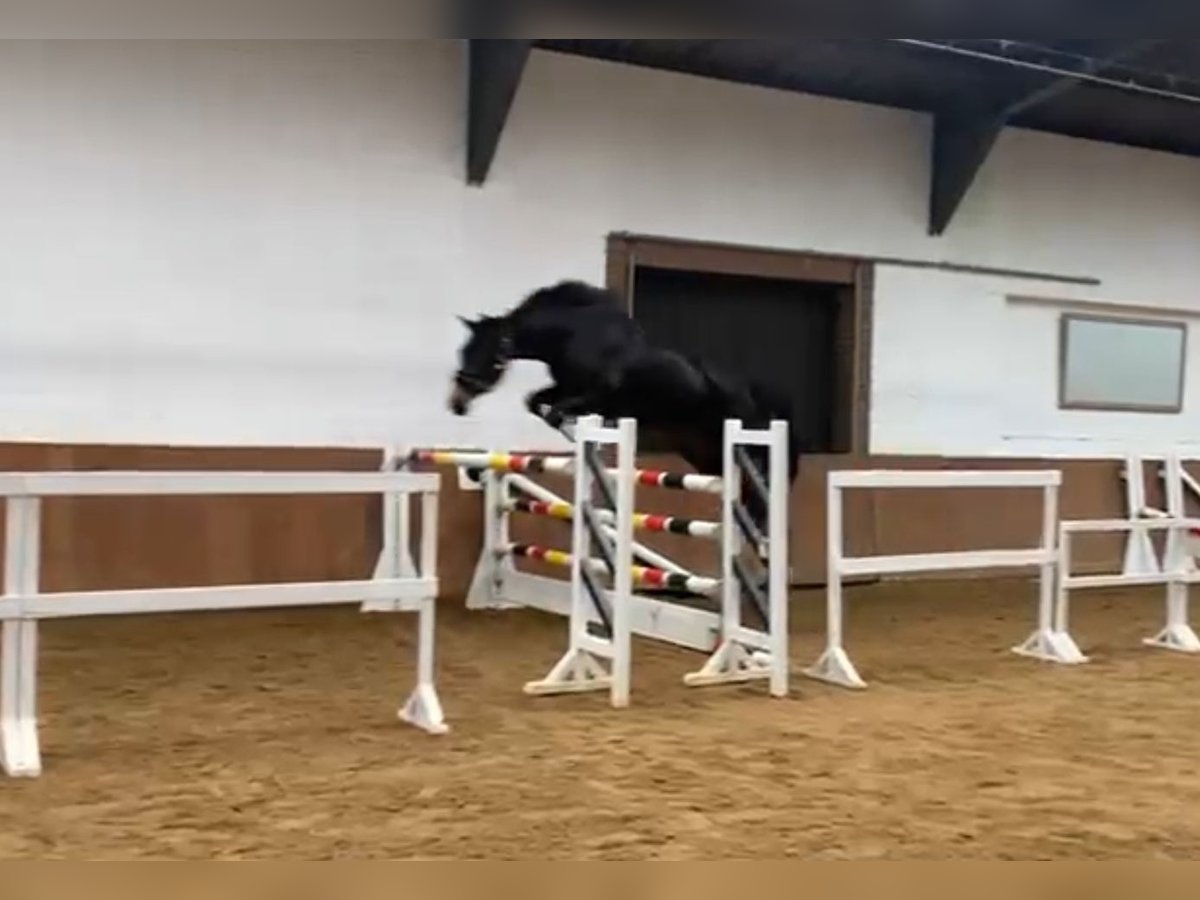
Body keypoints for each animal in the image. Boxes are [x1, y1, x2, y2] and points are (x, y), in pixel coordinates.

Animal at [447, 279, 805, 555]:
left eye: (487, 352)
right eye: (463, 351)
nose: (456, 404)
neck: (574, 335)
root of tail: (755, 393)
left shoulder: (596, 397)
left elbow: (559, 410)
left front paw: (574, 433)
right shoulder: (564, 389)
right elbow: (535, 401)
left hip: (740, 445)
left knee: (762, 487)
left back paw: (761, 541)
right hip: (706, 454)